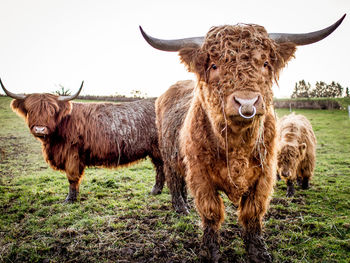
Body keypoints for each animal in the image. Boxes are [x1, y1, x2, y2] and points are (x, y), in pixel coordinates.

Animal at [0, 80, 165, 204]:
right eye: (31, 110)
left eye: (52, 110)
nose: (40, 129)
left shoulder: (72, 154)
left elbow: (72, 177)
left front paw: (70, 199)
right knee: (160, 167)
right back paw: (156, 191)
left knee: (162, 167)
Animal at [141, 14, 346, 263]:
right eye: (214, 65)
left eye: (265, 63)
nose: (246, 103)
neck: (237, 145)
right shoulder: (201, 174)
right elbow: (211, 211)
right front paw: (210, 251)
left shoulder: (265, 175)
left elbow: (253, 212)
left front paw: (258, 251)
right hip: (169, 155)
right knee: (173, 179)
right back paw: (181, 208)